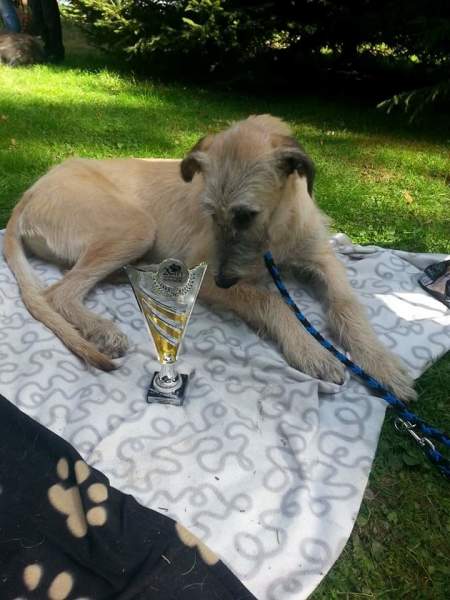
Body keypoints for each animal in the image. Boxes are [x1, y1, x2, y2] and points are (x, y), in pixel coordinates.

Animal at [3, 114, 416, 400]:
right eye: (210, 212)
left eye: (246, 215)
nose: (222, 279)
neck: (276, 233)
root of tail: (28, 193)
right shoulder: (204, 275)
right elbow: (270, 300)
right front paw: (310, 349)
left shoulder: (321, 257)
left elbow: (346, 305)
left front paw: (380, 364)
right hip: (135, 226)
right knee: (58, 293)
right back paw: (102, 328)